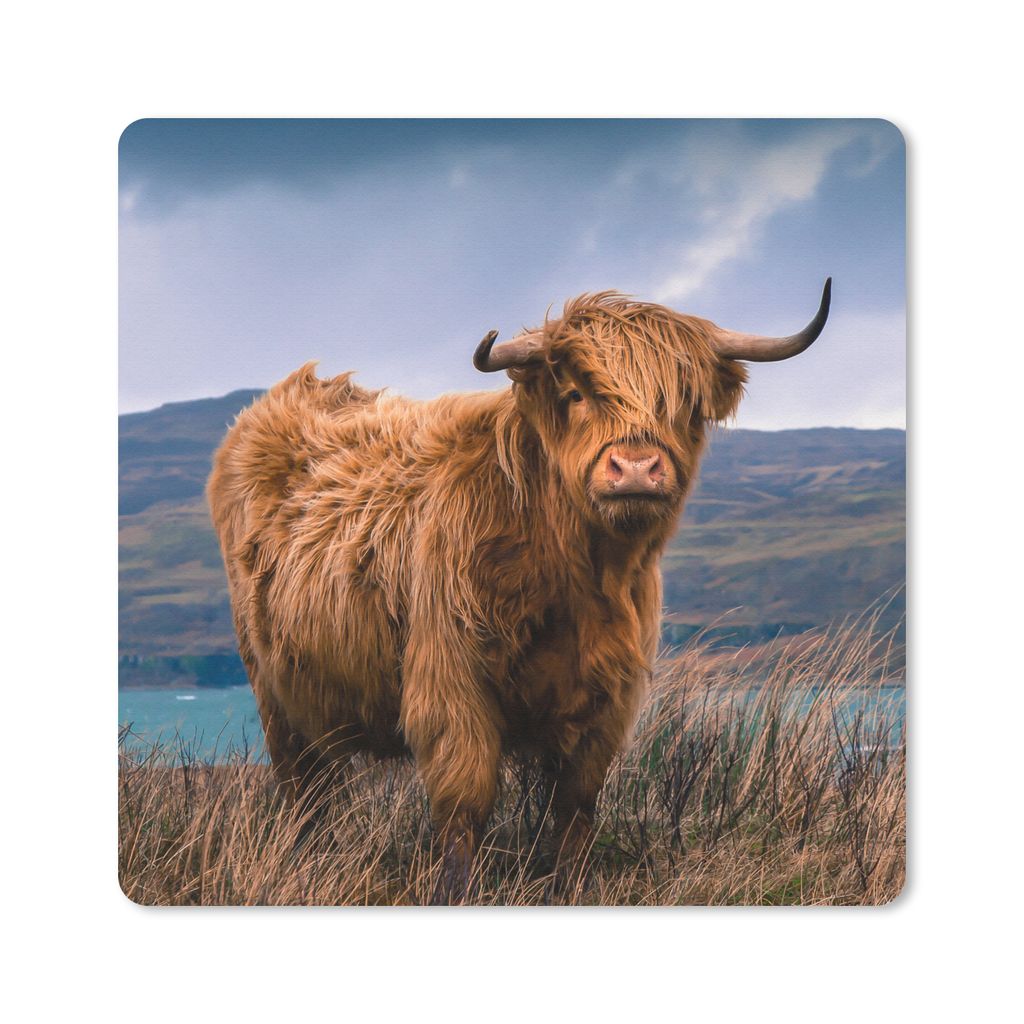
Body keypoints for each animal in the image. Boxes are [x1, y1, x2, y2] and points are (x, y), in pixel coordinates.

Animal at [207, 279, 832, 903]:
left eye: (683, 402)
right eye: (576, 393)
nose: (635, 469)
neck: (575, 576)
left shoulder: (609, 697)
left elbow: (577, 806)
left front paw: (572, 887)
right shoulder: (451, 683)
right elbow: (464, 803)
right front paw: (455, 892)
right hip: (274, 693)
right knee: (303, 789)